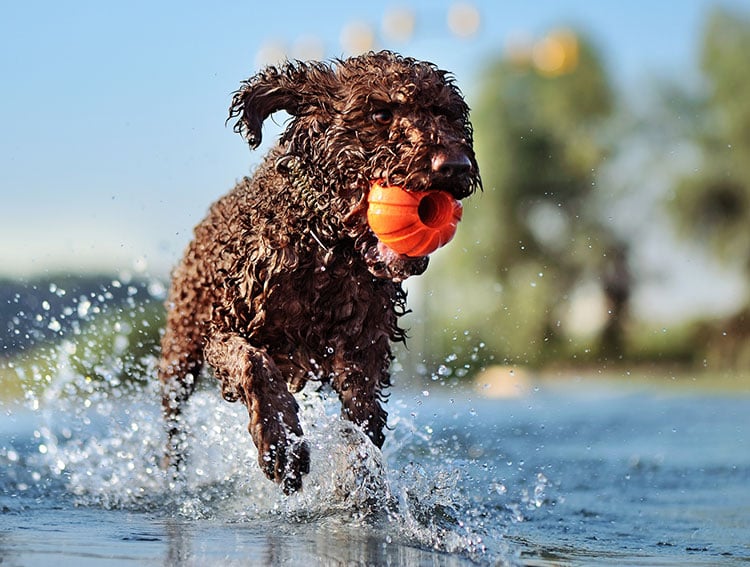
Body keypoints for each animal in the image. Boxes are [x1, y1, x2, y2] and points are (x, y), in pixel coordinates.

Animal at [159, 51, 482, 494]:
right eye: (381, 113)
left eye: (448, 115)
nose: (455, 165)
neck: (325, 250)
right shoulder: (224, 328)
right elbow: (252, 364)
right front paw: (281, 444)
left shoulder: (363, 346)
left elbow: (364, 419)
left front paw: (360, 478)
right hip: (181, 347)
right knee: (173, 417)